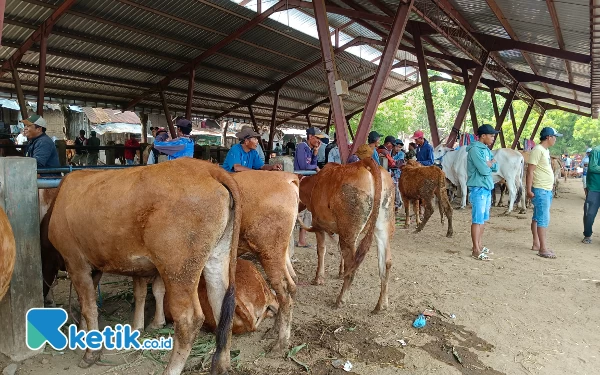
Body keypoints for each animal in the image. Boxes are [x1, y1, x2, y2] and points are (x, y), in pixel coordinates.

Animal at [48, 159, 241, 375]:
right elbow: (88, 304)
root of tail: (209, 168)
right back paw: (221, 365)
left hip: (178, 269)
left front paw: (91, 354)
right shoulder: (94, 265)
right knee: (222, 304)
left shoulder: (75, 262)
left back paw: (171, 369)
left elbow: (88, 306)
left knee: (188, 319)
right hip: (217, 256)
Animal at [298, 157, 394, 312]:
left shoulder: (320, 227)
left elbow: (321, 251)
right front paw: (340, 272)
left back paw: (341, 299)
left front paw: (318, 278)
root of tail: (364, 163)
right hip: (381, 227)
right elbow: (338, 249)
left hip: (350, 231)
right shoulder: (339, 229)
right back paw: (381, 304)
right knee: (386, 262)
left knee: (352, 263)